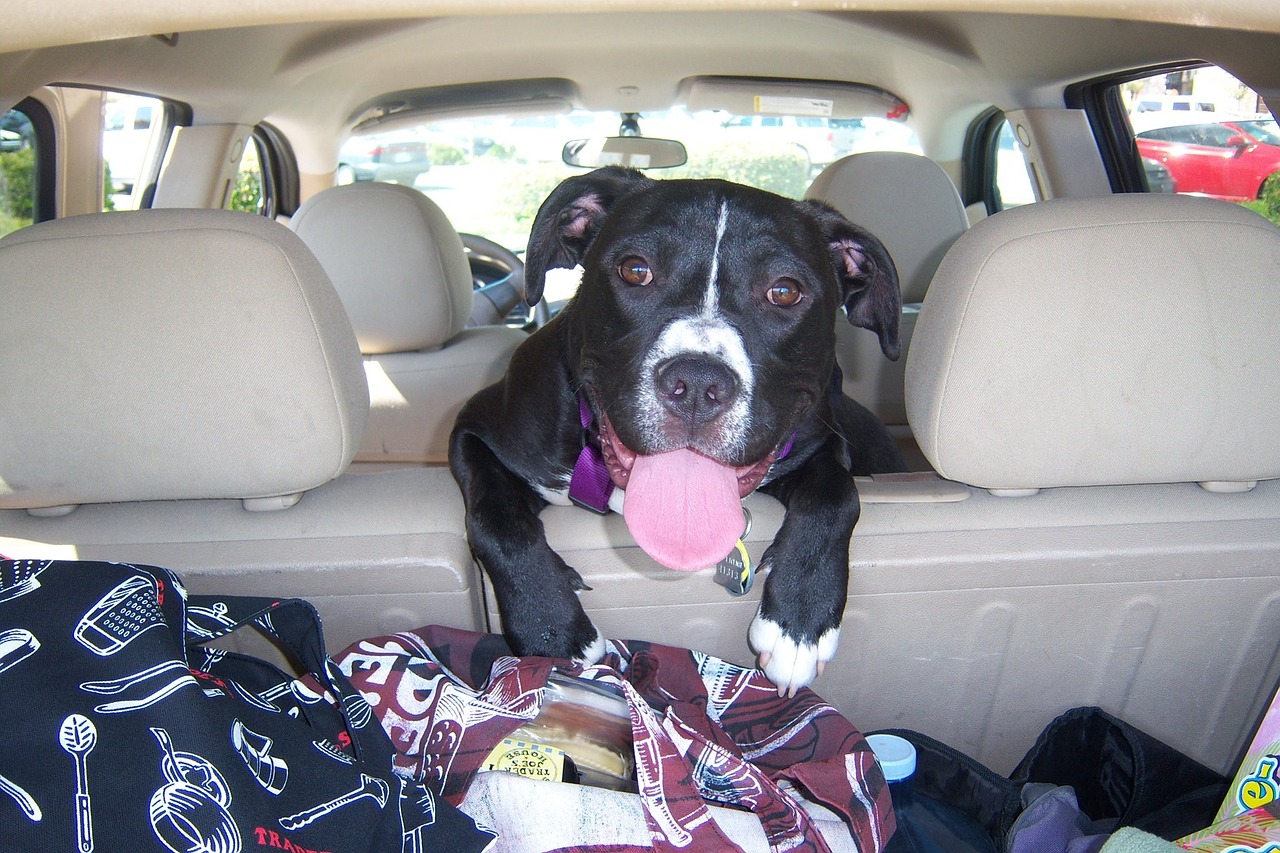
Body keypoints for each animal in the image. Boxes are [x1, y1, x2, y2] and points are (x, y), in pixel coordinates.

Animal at [450, 163, 911, 691]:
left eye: (785, 290)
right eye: (636, 269)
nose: (696, 383)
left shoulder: (821, 443)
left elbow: (838, 497)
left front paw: (799, 623)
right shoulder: (475, 431)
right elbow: (494, 518)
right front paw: (552, 631)